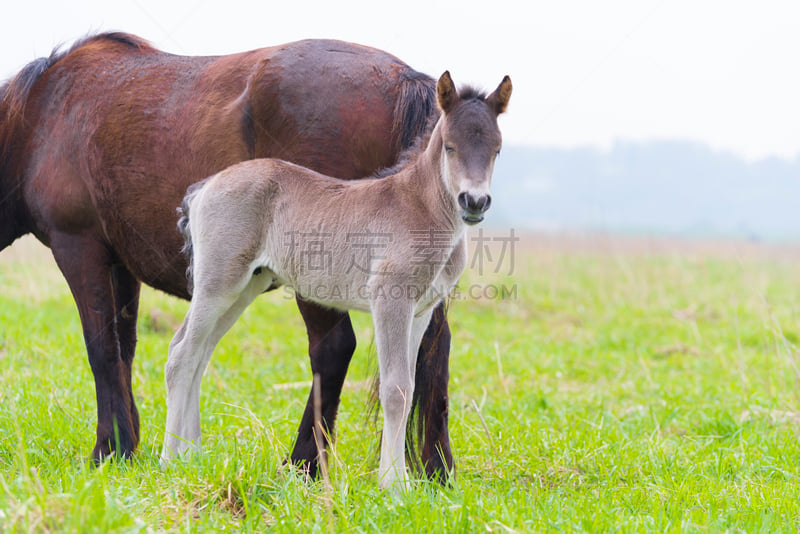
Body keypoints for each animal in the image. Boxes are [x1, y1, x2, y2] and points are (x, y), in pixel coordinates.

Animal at [0, 30, 450, 482]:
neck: (40, 114)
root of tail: (402, 77)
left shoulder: (78, 247)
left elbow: (102, 350)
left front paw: (108, 450)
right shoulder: (121, 266)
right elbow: (124, 347)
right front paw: (128, 443)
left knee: (334, 349)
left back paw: (302, 464)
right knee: (432, 349)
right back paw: (437, 467)